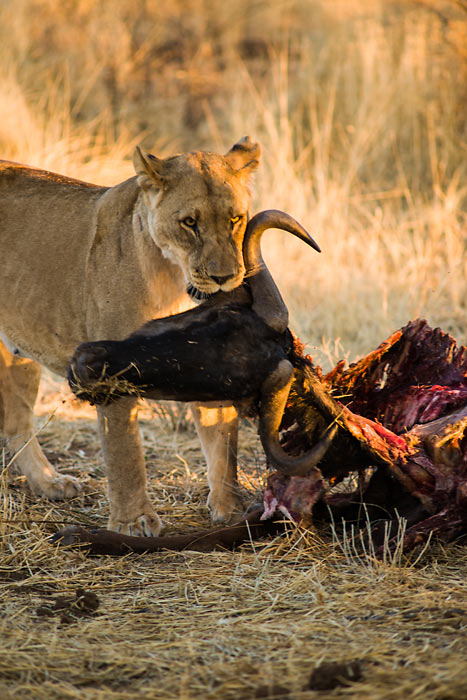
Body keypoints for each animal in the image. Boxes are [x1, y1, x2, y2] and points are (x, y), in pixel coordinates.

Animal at [0, 136, 260, 536]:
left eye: (235, 219)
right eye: (190, 223)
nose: (224, 277)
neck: (174, 280)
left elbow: (223, 441)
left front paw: (230, 508)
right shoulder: (110, 365)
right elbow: (125, 452)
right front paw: (133, 521)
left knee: (17, 422)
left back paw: (50, 483)